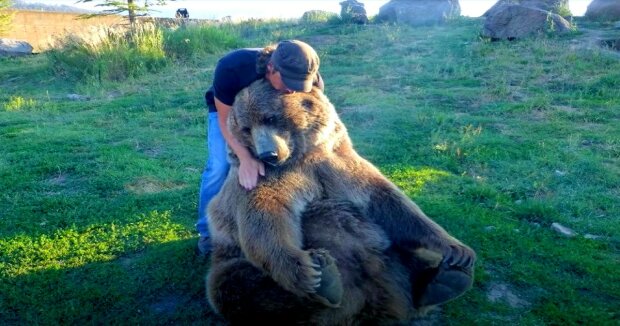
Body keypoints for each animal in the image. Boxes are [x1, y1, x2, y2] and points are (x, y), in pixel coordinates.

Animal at [205, 78, 474, 324]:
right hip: (229, 259)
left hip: (391, 253)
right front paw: (308, 271)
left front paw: (458, 250)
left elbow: (389, 202)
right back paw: (327, 280)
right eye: (245, 128)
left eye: (270, 117)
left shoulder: (336, 164)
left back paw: (446, 279)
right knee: (237, 286)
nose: (267, 155)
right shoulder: (265, 180)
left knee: (412, 255)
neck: (301, 158)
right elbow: (265, 217)